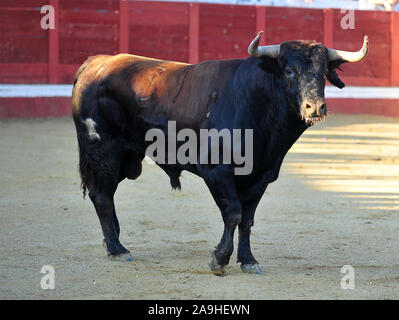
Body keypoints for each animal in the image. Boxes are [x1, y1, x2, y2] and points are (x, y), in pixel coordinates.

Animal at [72, 31, 368, 276]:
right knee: (102, 196)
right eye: (289, 71)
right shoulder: (217, 171)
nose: (314, 106)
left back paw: (112, 241)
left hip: (127, 159)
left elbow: (247, 219)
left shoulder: (262, 176)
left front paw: (248, 260)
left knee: (107, 195)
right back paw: (117, 249)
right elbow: (233, 213)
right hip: (102, 152)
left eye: (323, 72)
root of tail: (96, 63)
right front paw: (220, 259)